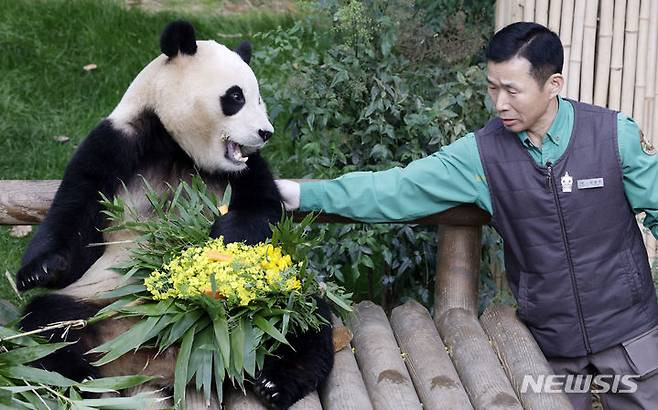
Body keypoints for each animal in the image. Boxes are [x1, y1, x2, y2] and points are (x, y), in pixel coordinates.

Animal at [15, 20, 334, 410]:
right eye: (236, 97)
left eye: (258, 98)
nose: (265, 133)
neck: (176, 144)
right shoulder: (116, 143)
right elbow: (75, 217)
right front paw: (40, 270)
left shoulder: (245, 170)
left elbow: (264, 212)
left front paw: (224, 235)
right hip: (97, 301)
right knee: (47, 325)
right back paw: (82, 378)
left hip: (278, 290)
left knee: (302, 316)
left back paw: (275, 382)